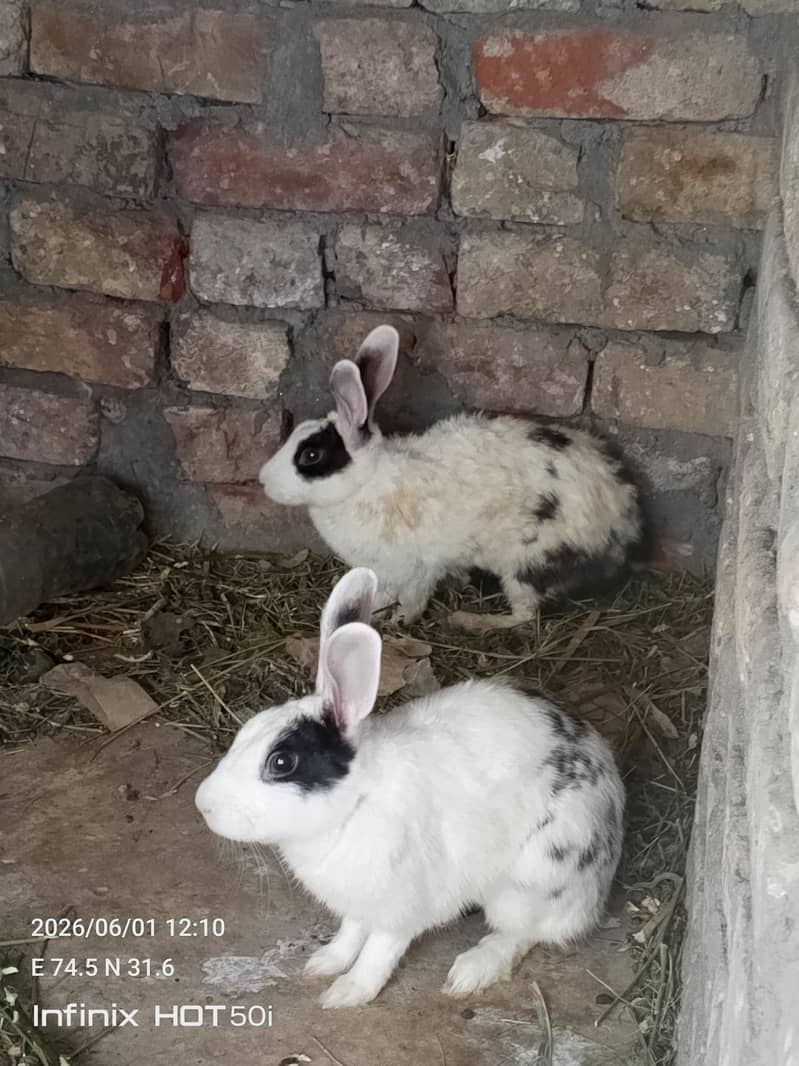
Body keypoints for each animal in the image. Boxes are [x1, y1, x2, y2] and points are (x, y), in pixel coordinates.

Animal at [195, 567, 625, 1009]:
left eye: (281, 763)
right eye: (247, 728)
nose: (203, 804)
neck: (355, 803)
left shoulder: (401, 908)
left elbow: (378, 951)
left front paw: (347, 993)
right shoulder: (358, 903)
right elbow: (351, 932)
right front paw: (325, 962)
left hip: (532, 881)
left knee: (525, 933)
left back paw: (472, 969)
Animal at [259, 325, 644, 631]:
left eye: (311, 456)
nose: (263, 480)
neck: (366, 483)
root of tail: (624, 525)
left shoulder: (415, 570)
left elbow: (412, 600)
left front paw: (399, 621)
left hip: (525, 565)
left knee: (524, 617)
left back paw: (469, 621)